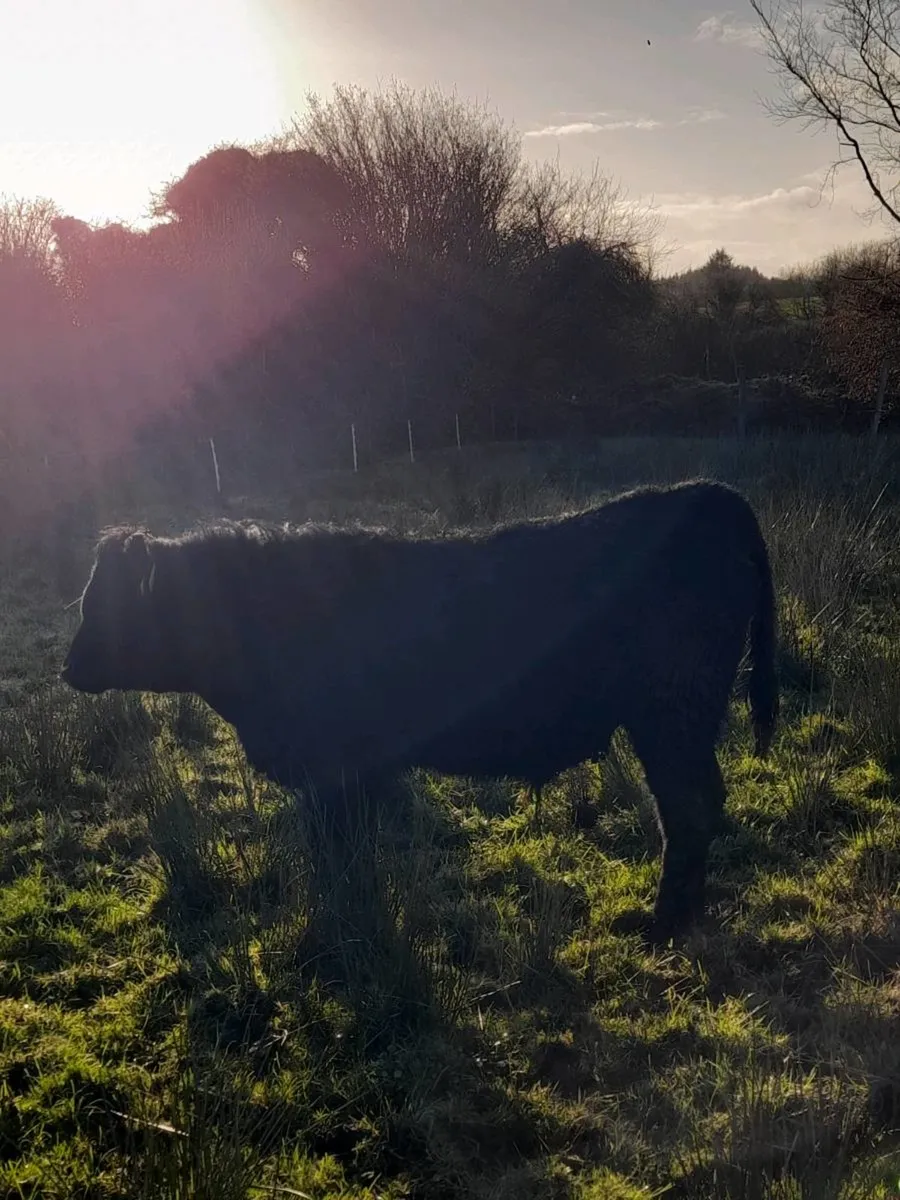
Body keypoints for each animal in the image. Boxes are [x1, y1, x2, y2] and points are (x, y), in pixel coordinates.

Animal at [60, 479, 778, 943]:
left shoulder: (333, 769)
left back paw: (664, 923)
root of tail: (708, 493)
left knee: (686, 808)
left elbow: (338, 852)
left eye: (112, 606)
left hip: (671, 714)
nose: (68, 668)